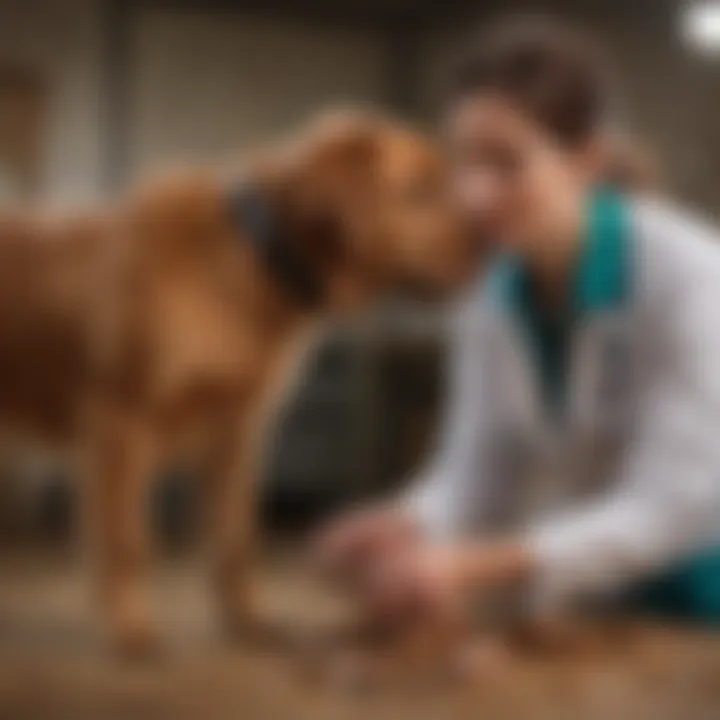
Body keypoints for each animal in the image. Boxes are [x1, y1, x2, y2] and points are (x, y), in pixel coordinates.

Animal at [0, 111, 478, 652]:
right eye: (419, 191)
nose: (485, 240)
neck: (245, 261)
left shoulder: (234, 432)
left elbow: (235, 542)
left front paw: (248, 623)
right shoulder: (119, 422)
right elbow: (128, 542)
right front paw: (130, 628)